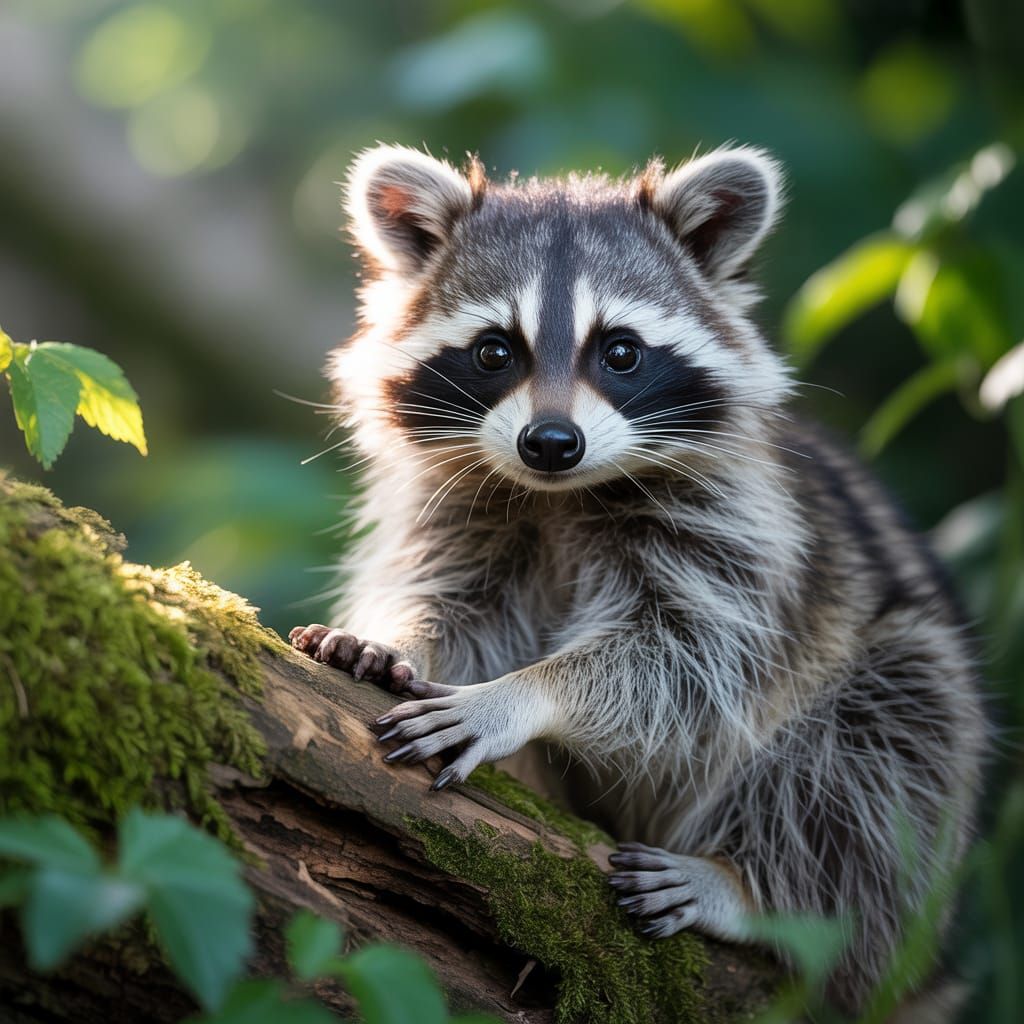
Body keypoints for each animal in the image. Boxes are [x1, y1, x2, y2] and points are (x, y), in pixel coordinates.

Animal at [290, 144, 985, 1017]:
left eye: (620, 352)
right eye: (494, 351)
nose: (551, 442)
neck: (558, 495)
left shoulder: (736, 533)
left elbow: (684, 660)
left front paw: (522, 695)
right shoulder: (460, 511)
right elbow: (457, 602)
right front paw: (395, 637)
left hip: (910, 749)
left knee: (893, 737)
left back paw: (758, 897)